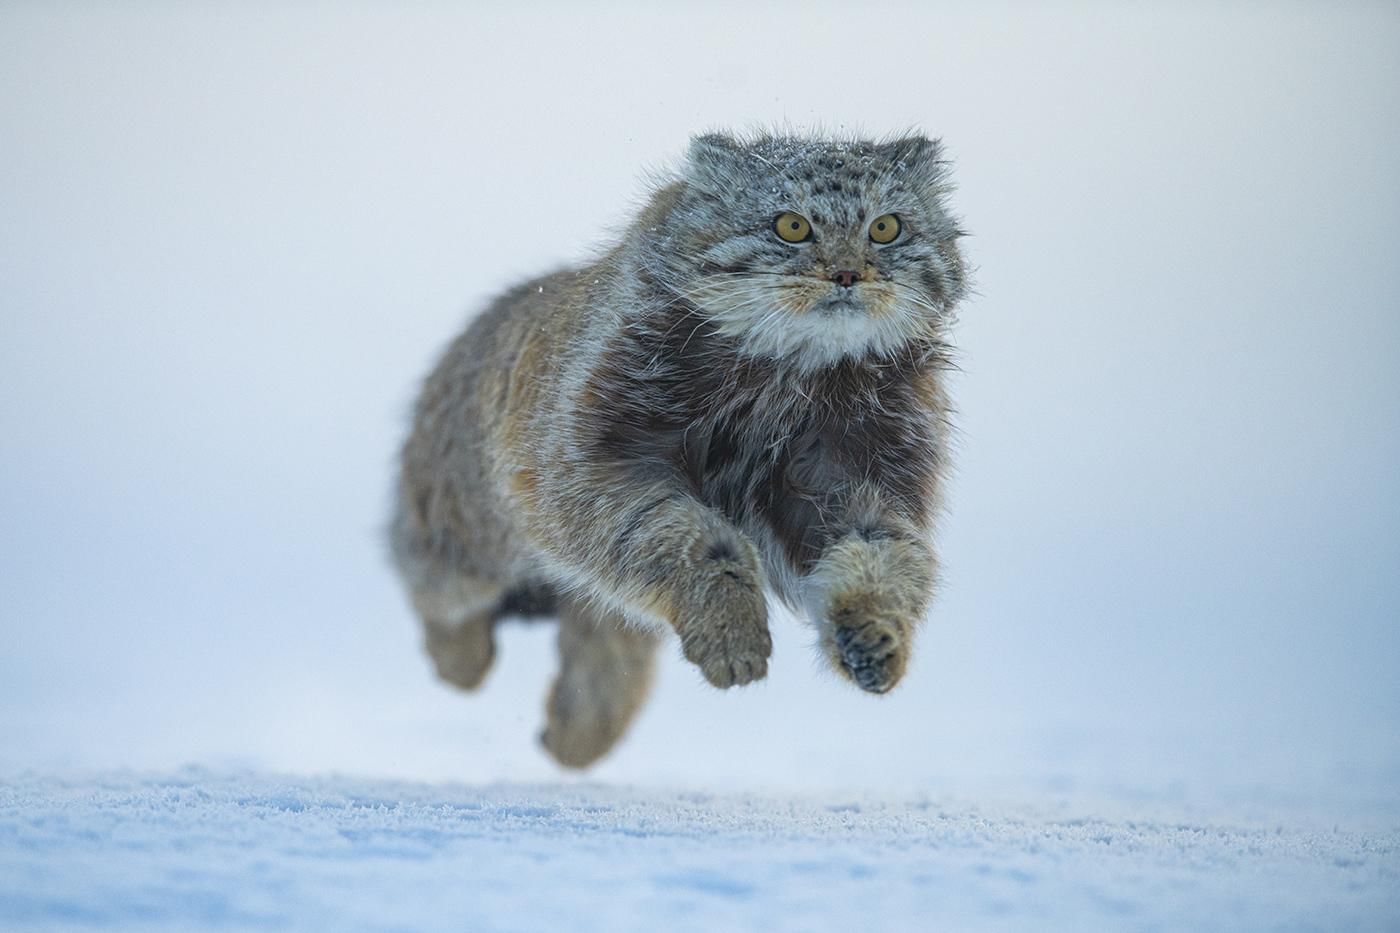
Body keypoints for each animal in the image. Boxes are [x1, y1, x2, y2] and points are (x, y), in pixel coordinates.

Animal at [389, 134, 968, 767]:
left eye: (885, 228)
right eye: (791, 226)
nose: (847, 273)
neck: (787, 376)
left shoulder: (853, 482)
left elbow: (885, 559)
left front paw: (874, 633)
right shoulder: (588, 472)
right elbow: (695, 540)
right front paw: (730, 630)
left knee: (603, 670)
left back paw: (572, 737)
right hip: (465, 540)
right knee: (436, 594)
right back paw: (461, 658)